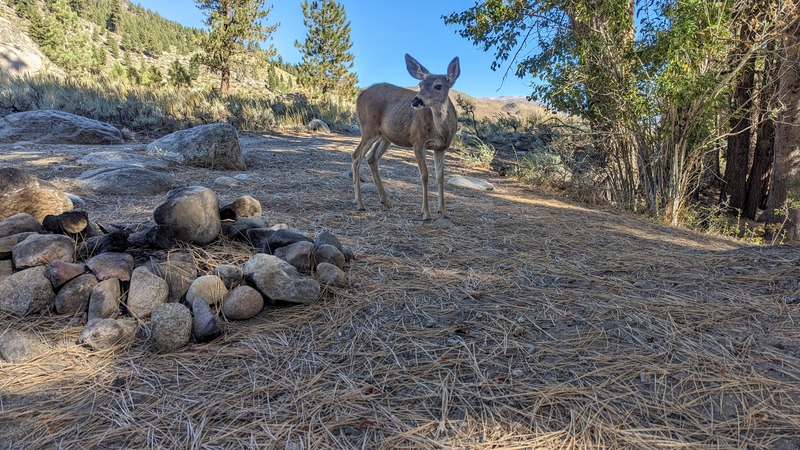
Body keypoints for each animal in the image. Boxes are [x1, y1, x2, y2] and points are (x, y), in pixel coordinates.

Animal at [352, 54, 460, 221]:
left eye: (438, 86)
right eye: (420, 84)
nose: (416, 100)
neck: (441, 131)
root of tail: (360, 94)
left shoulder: (441, 148)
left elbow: (440, 177)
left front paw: (443, 212)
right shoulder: (417, 141)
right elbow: (425, 176)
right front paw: (426, 213)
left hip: (385, 136)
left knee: (371, 158)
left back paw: (385, 201)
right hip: (369, 128)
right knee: (356, 156)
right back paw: (360, 204)